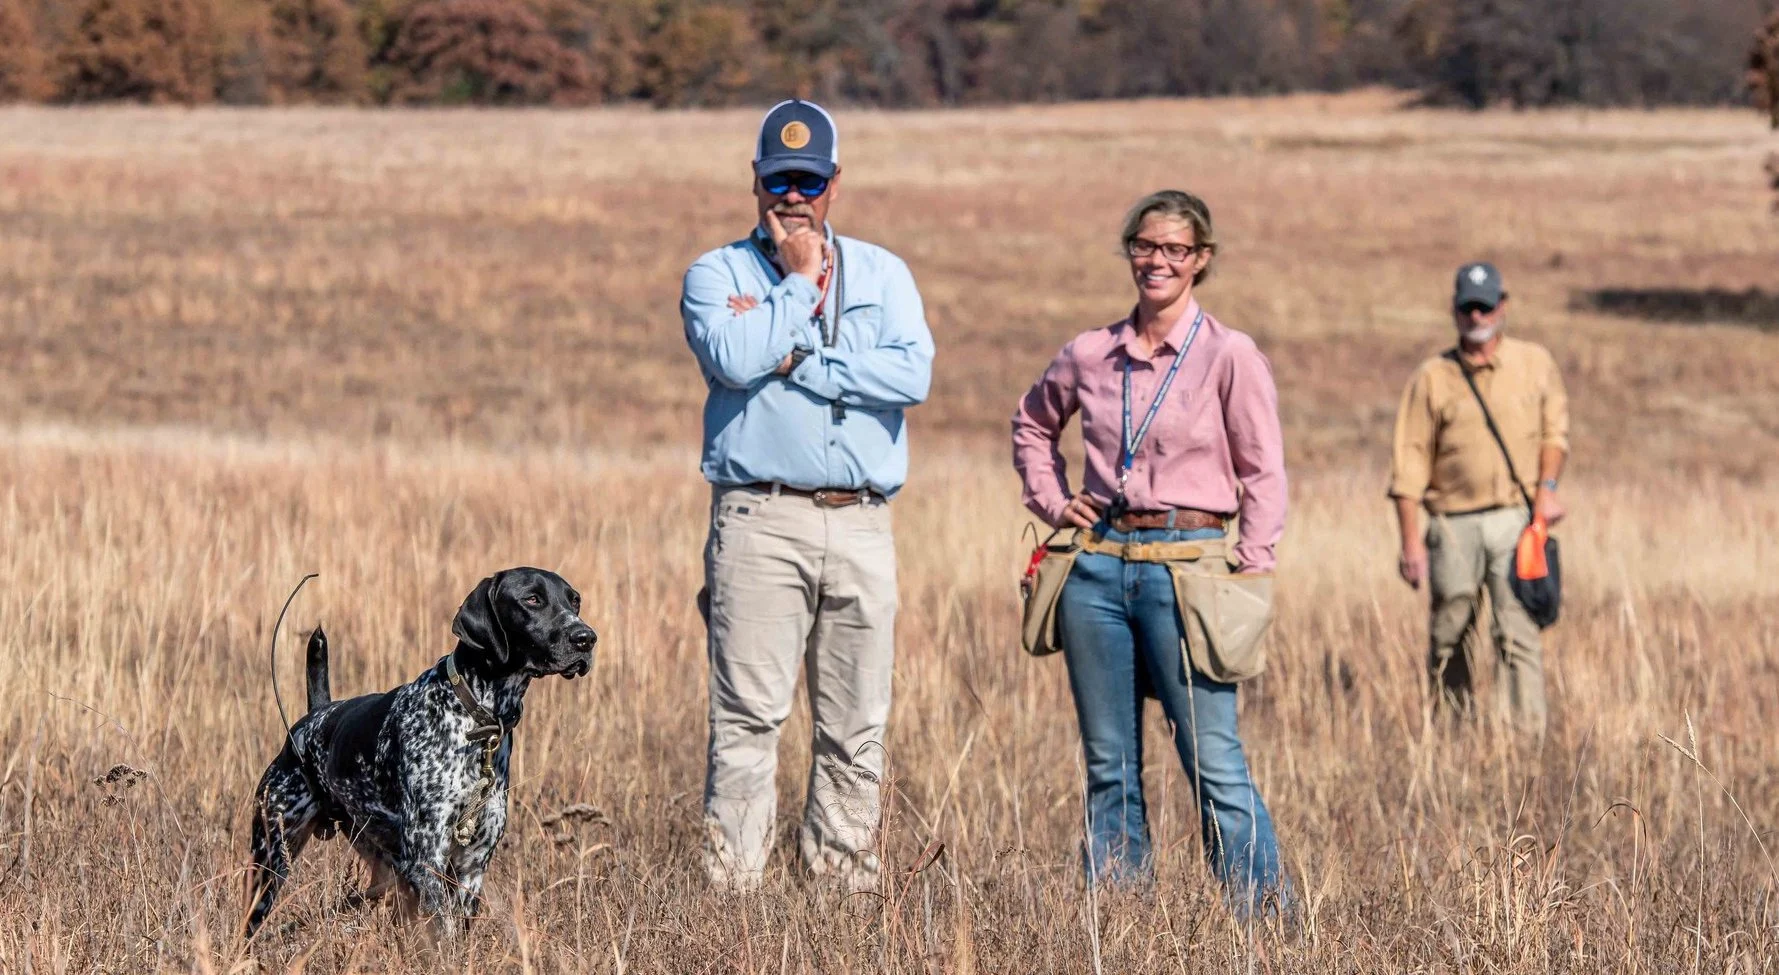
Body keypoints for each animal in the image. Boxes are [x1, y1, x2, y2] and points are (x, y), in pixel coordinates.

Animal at [245, 565, 597, 939]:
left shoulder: (472, 868)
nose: (586, 638)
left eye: (574, 600)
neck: (474, 717)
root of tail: (314, 718)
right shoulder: (427, 859)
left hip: (382, 869)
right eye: (532, 599)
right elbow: (445, 934)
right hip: (270, 860)